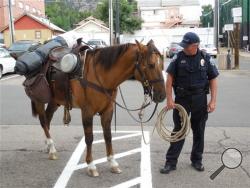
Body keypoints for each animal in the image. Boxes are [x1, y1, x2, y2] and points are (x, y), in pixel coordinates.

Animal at [32, 39, 167, 176]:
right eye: (151, 65)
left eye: (161, 64)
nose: (162, 95)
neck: (101, 75)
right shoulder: (87, 112)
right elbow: (89, 138)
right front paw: (91, 165)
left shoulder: (108, 111)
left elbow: (108, 136)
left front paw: (112, 163)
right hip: (39, 100)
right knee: (43, 121)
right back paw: (52, 149)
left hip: (54, 101)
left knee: (47, 119)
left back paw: (48, 146)